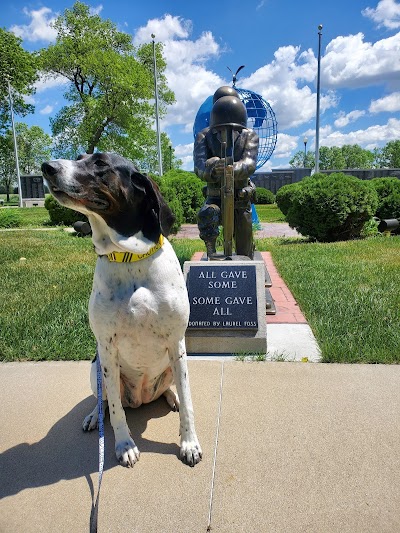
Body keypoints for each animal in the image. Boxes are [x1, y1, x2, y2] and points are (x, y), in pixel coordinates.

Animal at [42, 151, 202, 466]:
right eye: (78, 156)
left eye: (101, 163)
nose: (47, 167)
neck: (129, 257)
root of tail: (140, 399)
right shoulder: (106, 347)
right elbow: (115, 410)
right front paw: (124, 445)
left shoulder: (176, 342)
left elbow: (190, 399)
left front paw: (189, 443)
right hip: (97, 368)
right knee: (103, 401)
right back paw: (94, 417)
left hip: (169, 364)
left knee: (170, 388)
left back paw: (172, 398)